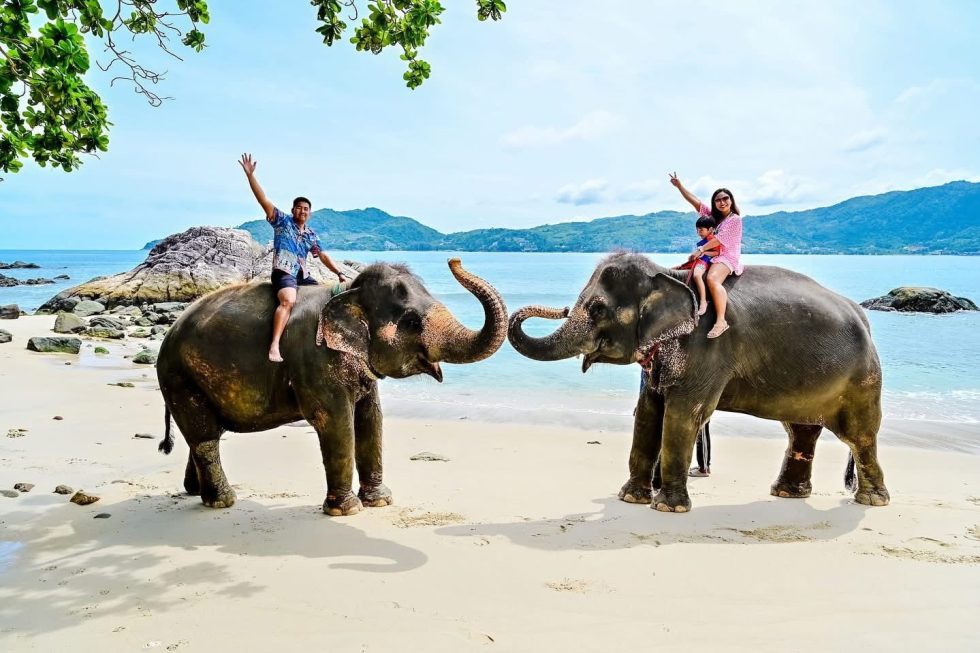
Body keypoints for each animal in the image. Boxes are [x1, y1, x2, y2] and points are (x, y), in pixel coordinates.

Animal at [156, 258, 507, 516]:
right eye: (410, 321)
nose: (454, 259)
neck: (348, 291)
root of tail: (168, 335)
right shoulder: (314, 359)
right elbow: (336, 421)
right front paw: (346, 511)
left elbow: (371, 418)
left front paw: (380, 501)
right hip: (179, 377)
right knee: (205, 436)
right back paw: (223, 501)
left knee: (203, 434)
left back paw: (195, 492)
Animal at [508, 252, 888, 513]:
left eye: (599, 308)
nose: (556, 309)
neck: (671, 275)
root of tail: (863, 315)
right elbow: (648, 414)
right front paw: (631, 498)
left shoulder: (707, 348)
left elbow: (682, 414)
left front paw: (668, 508)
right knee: (801, 430)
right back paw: (786, 493)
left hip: (863, 379)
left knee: (860, 435)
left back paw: (872, 501)